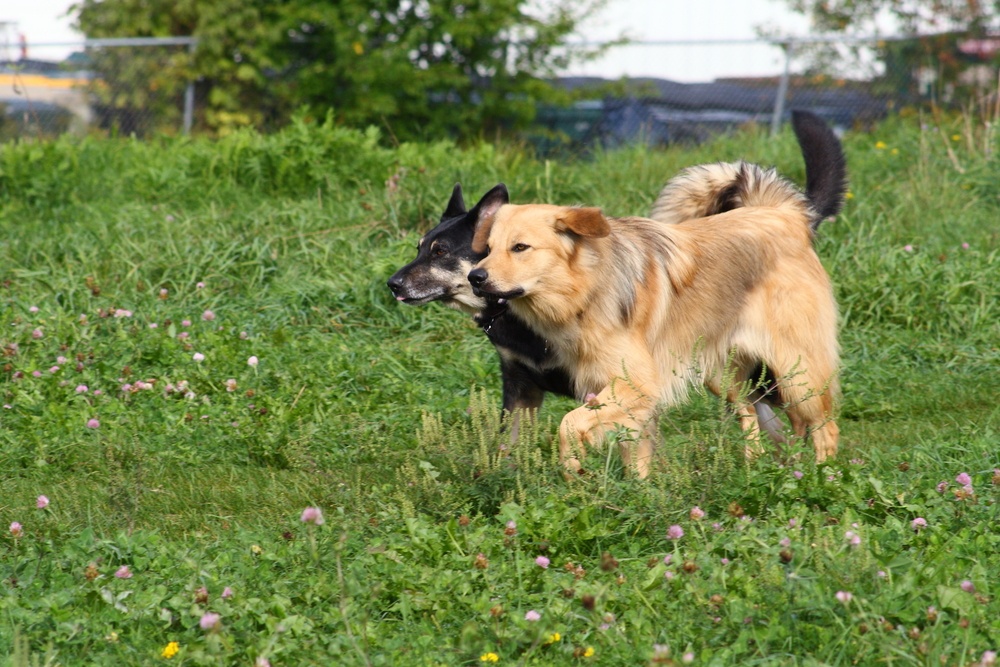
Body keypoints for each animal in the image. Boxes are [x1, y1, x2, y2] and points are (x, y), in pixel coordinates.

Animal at [470, 160, 844, 480]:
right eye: (487, 248)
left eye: (520, 247)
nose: (475, 277)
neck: (586, 287)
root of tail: (783, 215)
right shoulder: (615, 391)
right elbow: (632, 453)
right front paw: (637, 494)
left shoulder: (636, 383)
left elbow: (569, 424)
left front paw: (574, 469)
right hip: (721, 376)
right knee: (754, 414)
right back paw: (759, 467)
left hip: (798, 371)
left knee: (824, 426)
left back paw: (821, 480)